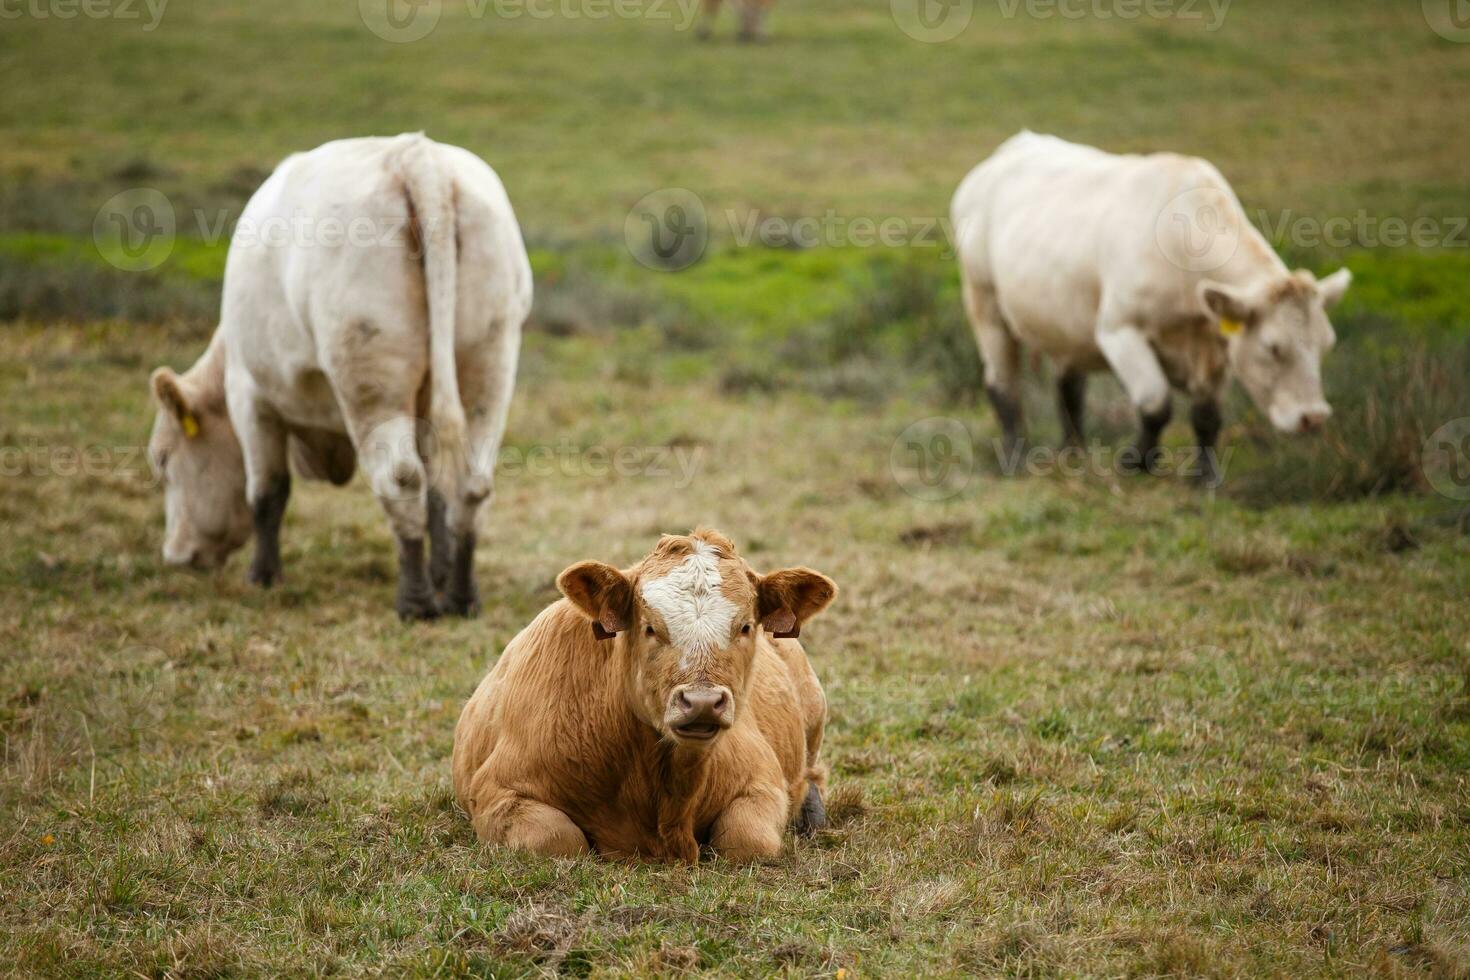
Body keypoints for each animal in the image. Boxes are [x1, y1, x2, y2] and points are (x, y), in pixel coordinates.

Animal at [143, 134, 532, 617]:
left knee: (401, 478)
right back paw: (460, 596)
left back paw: (415, 602)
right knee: (470, 485)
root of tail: (415, 156)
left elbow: (267, 492)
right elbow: (437, 497)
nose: (175, 555)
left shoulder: (249, 396)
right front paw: (439, 572)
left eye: (162, 459)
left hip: (369, 380)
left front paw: (262, 576)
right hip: (488, 364)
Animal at [446, 531, 840, 863]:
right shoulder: (498, 792)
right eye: (650, 627)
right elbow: (559, 840)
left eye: (745, 626)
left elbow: (747, 840)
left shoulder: (763, 783)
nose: (701, 702)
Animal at [946, 132, 1346, 484]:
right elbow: (1156, 403)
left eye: (1326, 346)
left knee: (1070, 386)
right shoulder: (1119, 331)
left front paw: (1205, 477)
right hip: (985, 303)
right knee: (1003, 384)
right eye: (1273, 348)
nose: (1313, 418)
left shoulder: (1217, 348)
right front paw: (1135, 461)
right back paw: (1015, 458)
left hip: (1065, 324)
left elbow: (1207, 415)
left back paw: (1073, 453)